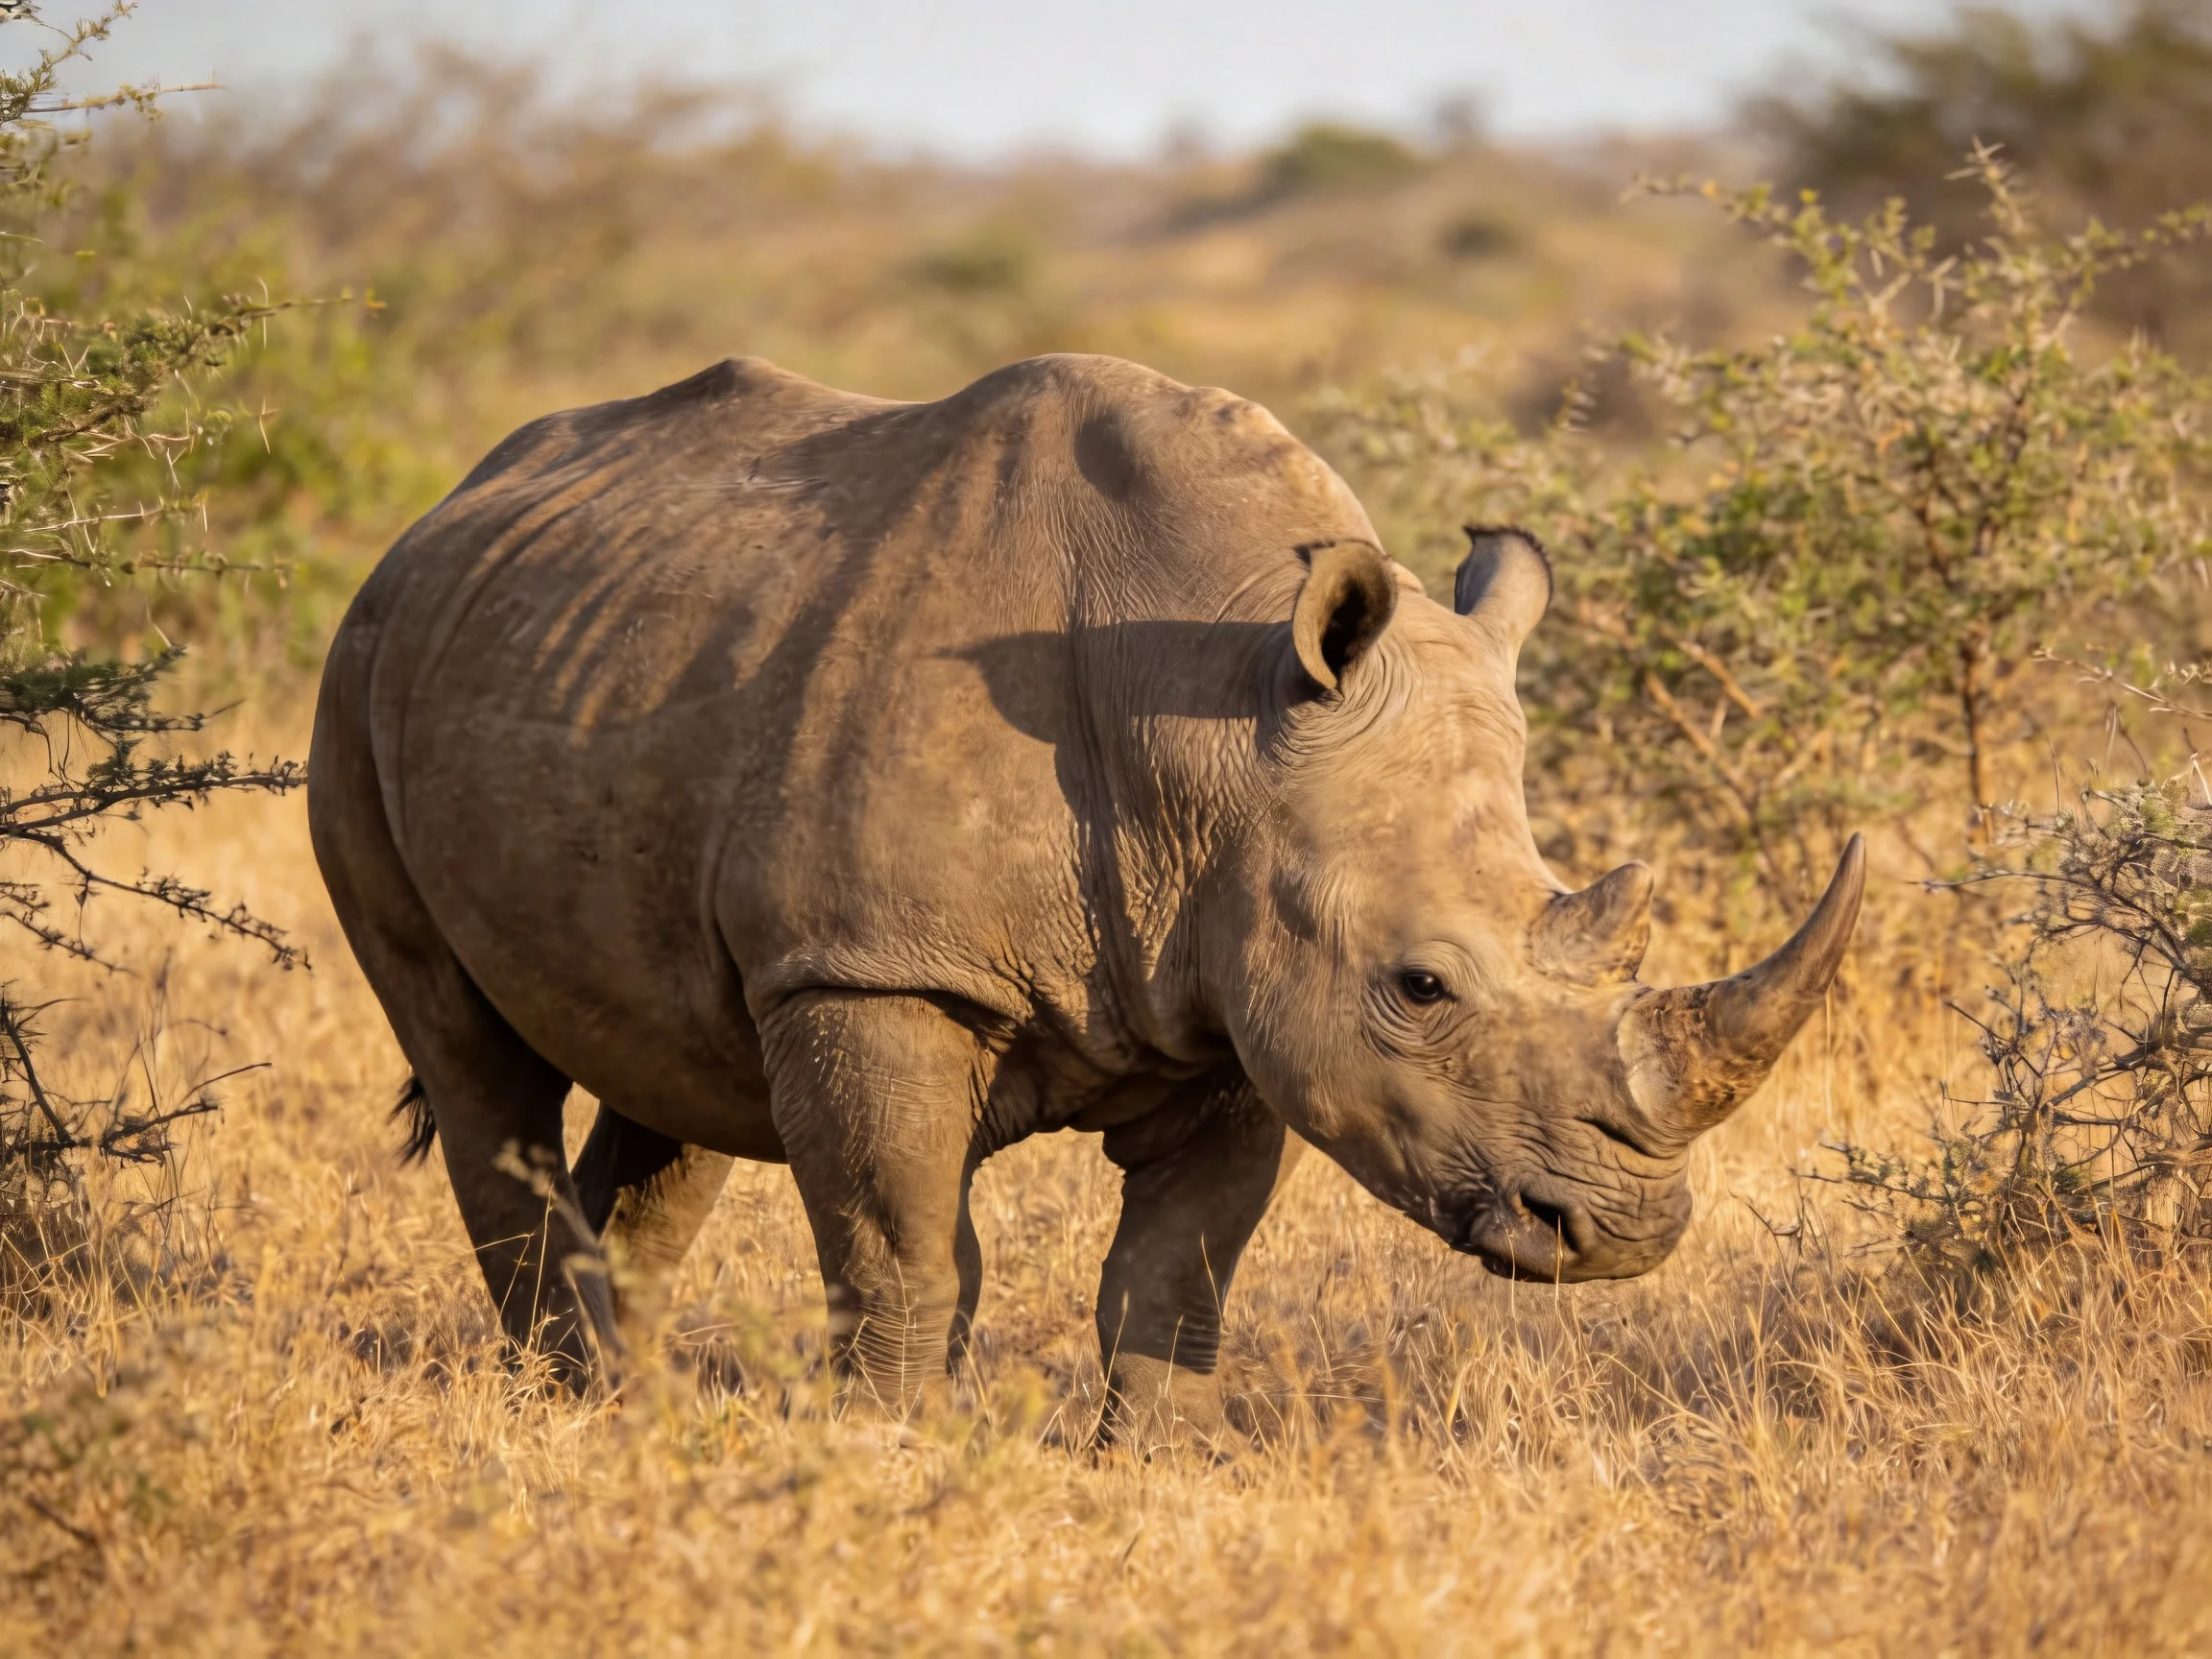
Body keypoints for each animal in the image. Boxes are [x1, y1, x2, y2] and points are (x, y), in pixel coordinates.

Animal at [309, 353, 1861, 1439]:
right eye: (1421, 986)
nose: (1629, 1232)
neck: (1221, 729)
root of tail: (442, 508)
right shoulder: (876, 966)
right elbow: (906, 1253)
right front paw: (891, 1457)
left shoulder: (1243, 995)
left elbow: (1175, 1280)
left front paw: (1148, 1472)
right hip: (356, 670)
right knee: (473, 1059)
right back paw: (568, 1401)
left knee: (670, 1080)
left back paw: (615, 1406)